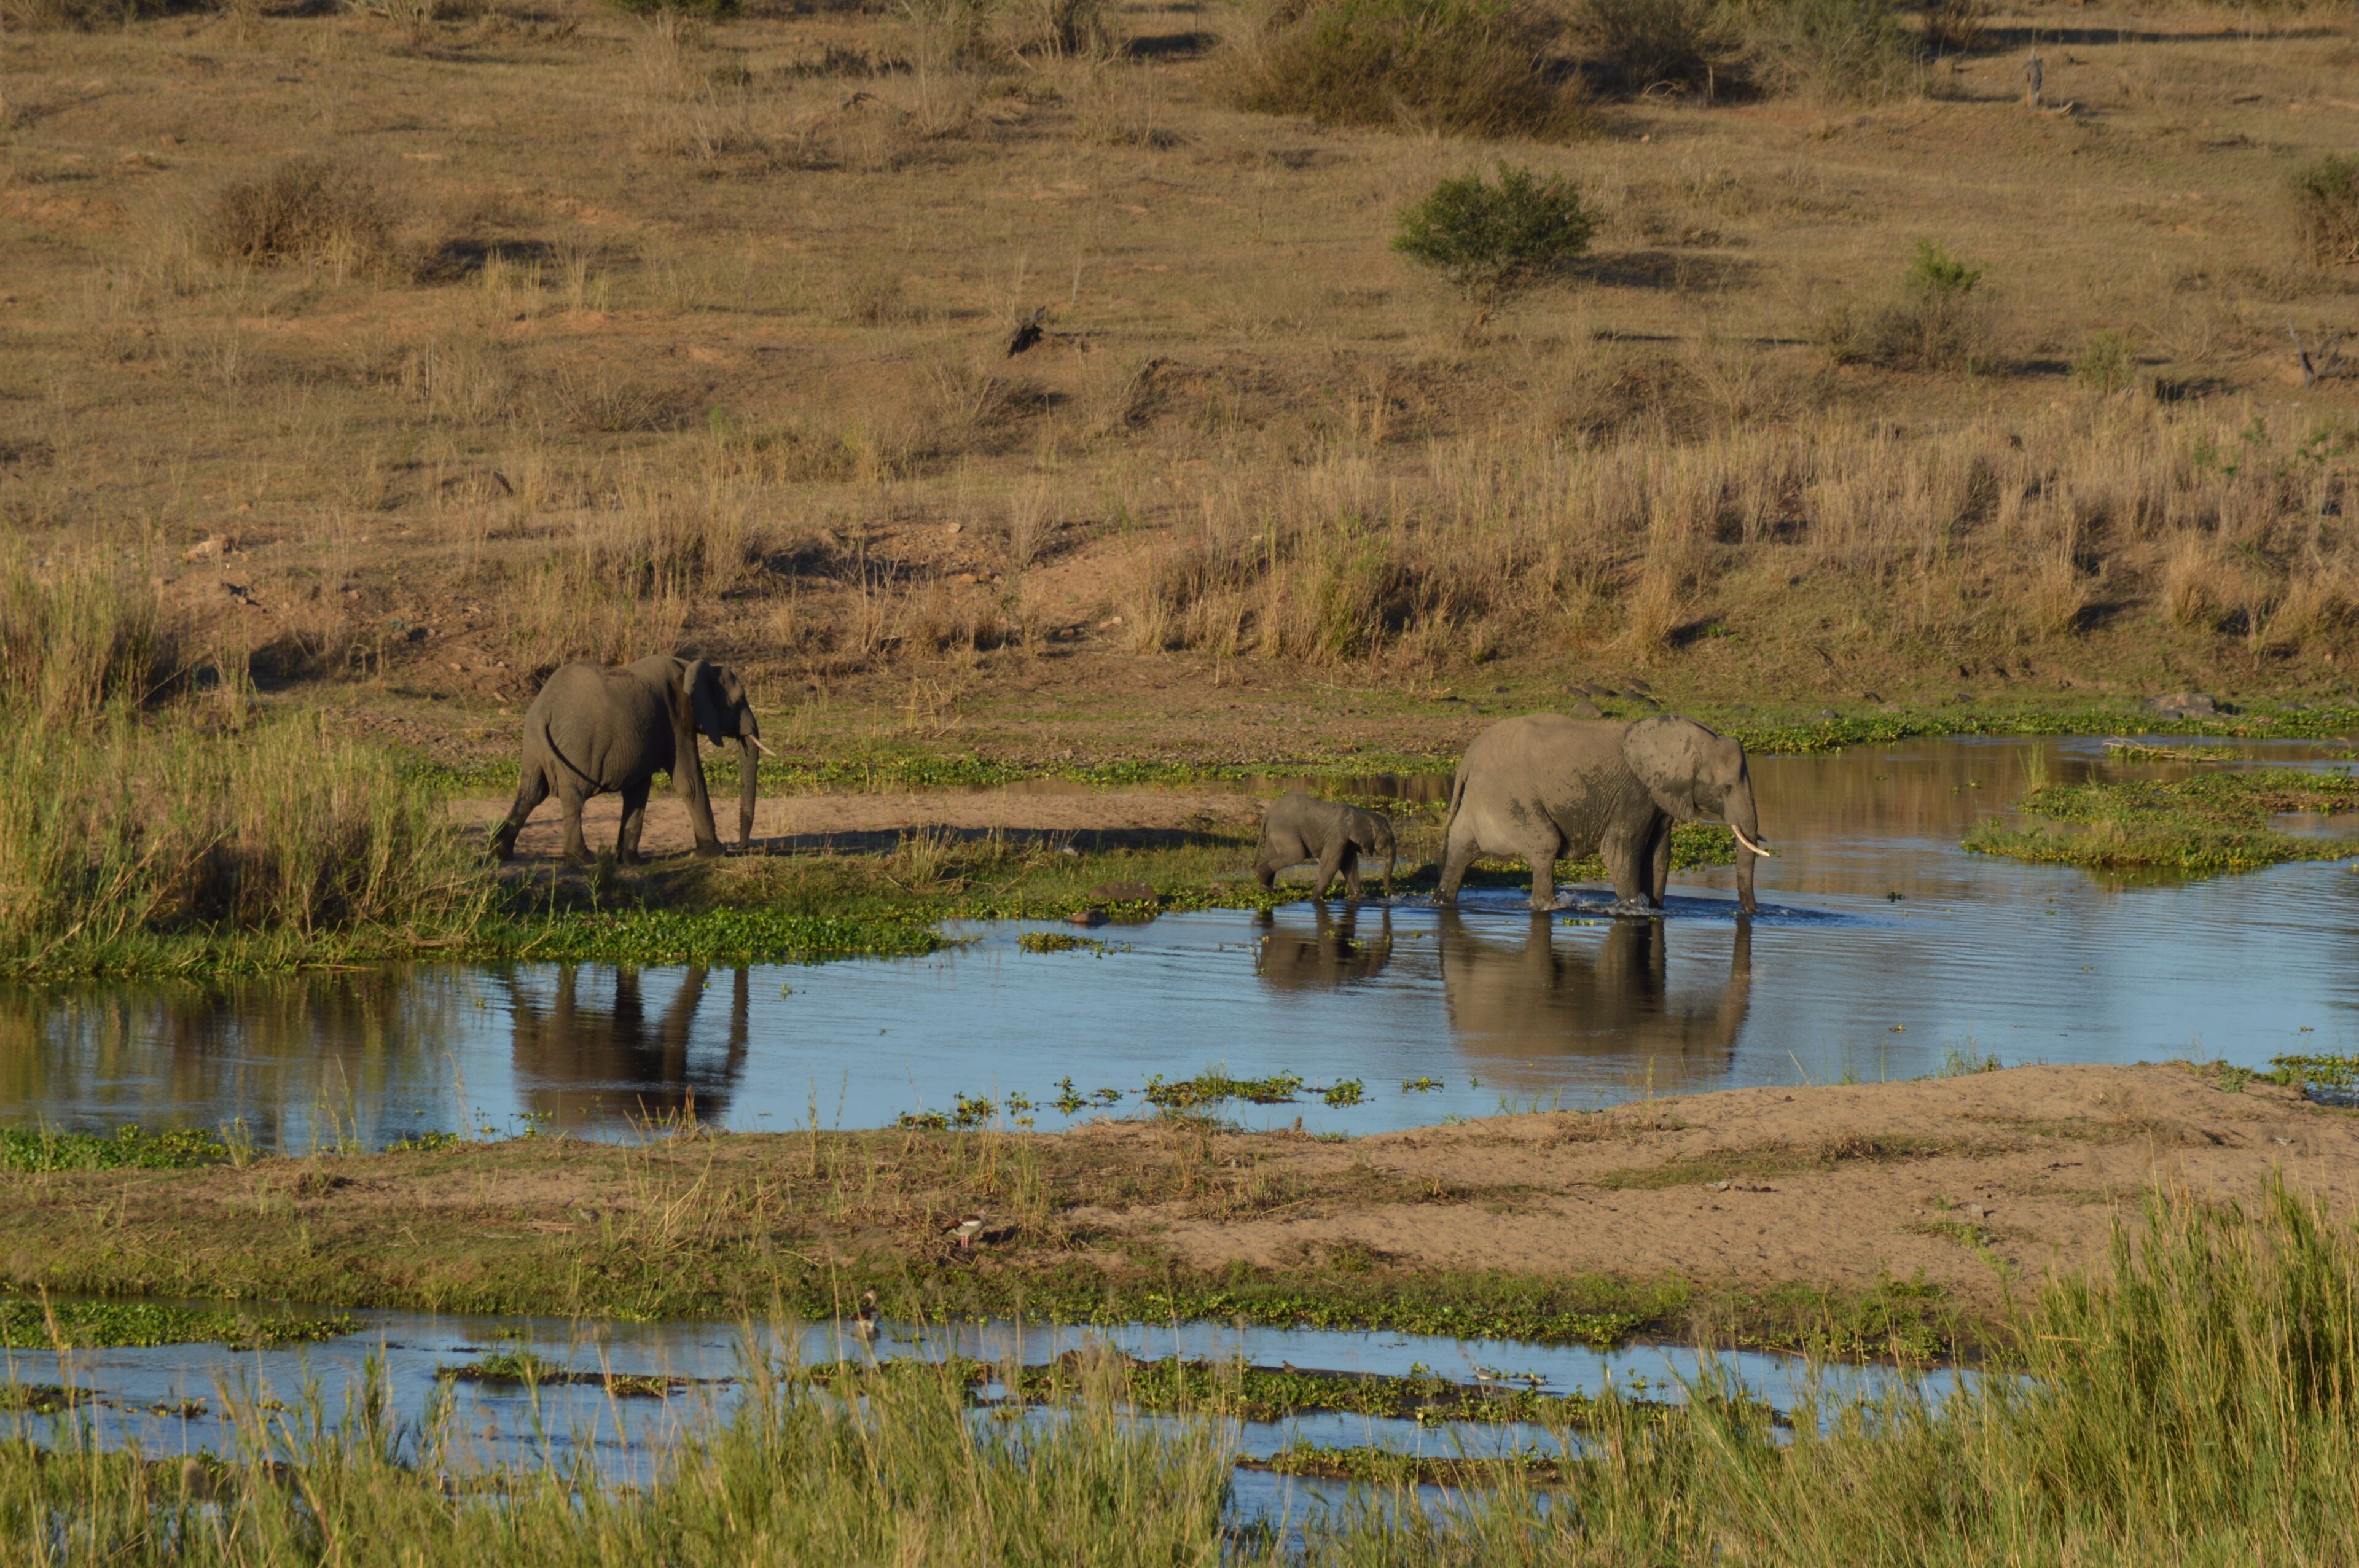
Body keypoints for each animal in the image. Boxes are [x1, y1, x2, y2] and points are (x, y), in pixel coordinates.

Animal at [491, 655, 766, 865]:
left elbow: (638, 791)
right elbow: (689, 783)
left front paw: (630, 861)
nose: (742, 847)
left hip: (534, 745)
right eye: (739, 701)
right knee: (574, 794)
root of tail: (543, 711)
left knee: (531, 792)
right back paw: (582, 857)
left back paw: (500, 852)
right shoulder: (678, 719)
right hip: (578, 744)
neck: (692, 665)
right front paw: (713, 853)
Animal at [1254, 791, 1397, 900]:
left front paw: (1358, 898)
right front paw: (1314, 900)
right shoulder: (1338, 836)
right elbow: (1331, 865)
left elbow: (1349, 866)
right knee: (1296, 855)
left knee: (1272, 856)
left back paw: (1265, 890)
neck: (1359, 813)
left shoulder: (1348, 842)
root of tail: (1268, 813)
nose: (1398, 895)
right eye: (1390, 839)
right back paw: (1258, 875)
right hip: (1284, 828)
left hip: (1274, 832)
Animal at [1437, 714, 1771, 915]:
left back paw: (1440, 900)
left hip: (1483, 797)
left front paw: (1656, 909)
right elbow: (1619, 853)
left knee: (1459, 850)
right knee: (1545, 845)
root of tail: (1468, 758)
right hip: (1509, 797)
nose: (1753, 914)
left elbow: (1659, 854)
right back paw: (1550, 907)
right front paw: (1632, 910)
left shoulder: (1660, 797)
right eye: (1727, 788)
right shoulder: (1635, 792)